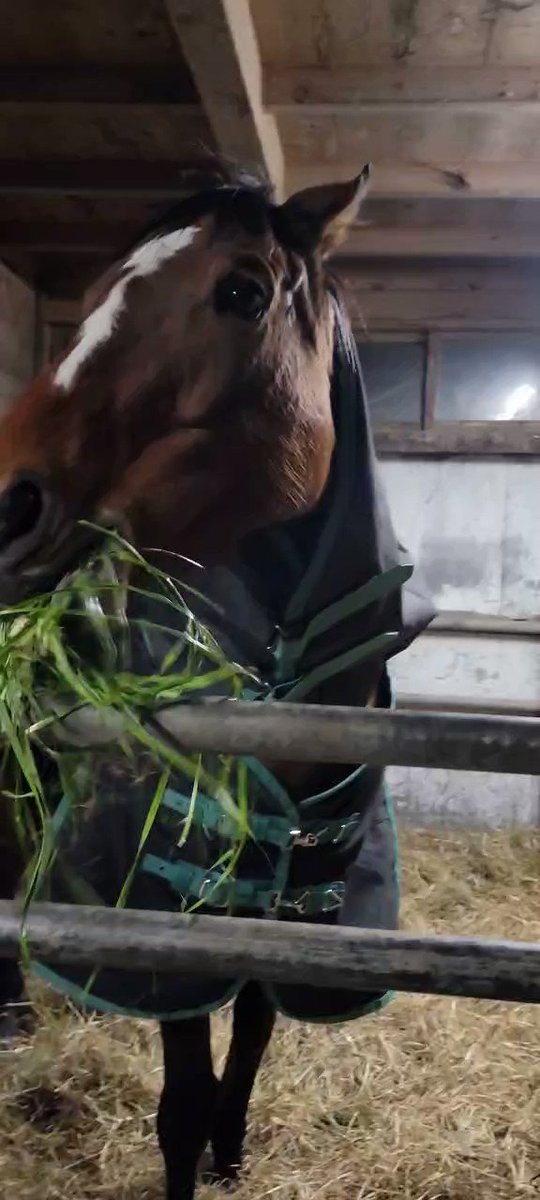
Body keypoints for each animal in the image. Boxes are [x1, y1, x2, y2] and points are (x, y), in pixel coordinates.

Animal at [0, 157, 434, 1200]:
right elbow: (182, 1101)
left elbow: (258, 1032)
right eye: (89, 296)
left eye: (241, 292)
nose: (3, 504)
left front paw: (234, 1151)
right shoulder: (176, 914)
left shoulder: (297, 905)